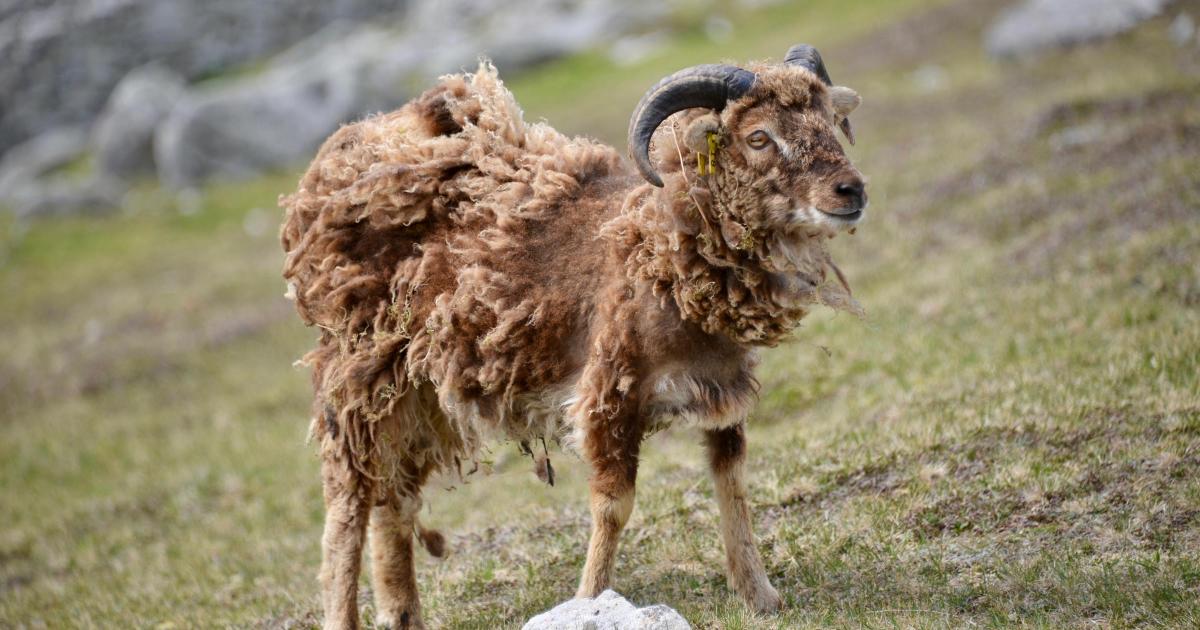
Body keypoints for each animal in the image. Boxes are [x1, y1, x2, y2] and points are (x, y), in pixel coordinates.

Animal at [280, 43, 867, 629]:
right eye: (759, 137)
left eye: (830, 122)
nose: (851, 190)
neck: (660, 253)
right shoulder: (609, 394)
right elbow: (614, 506)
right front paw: (591, 600)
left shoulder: (722, 392)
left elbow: (732, 484)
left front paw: (759, 595)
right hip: (359, 377)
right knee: (347, 506)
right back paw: (343, 612)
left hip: (418, 394)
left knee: (394, 501)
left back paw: (403, 613)